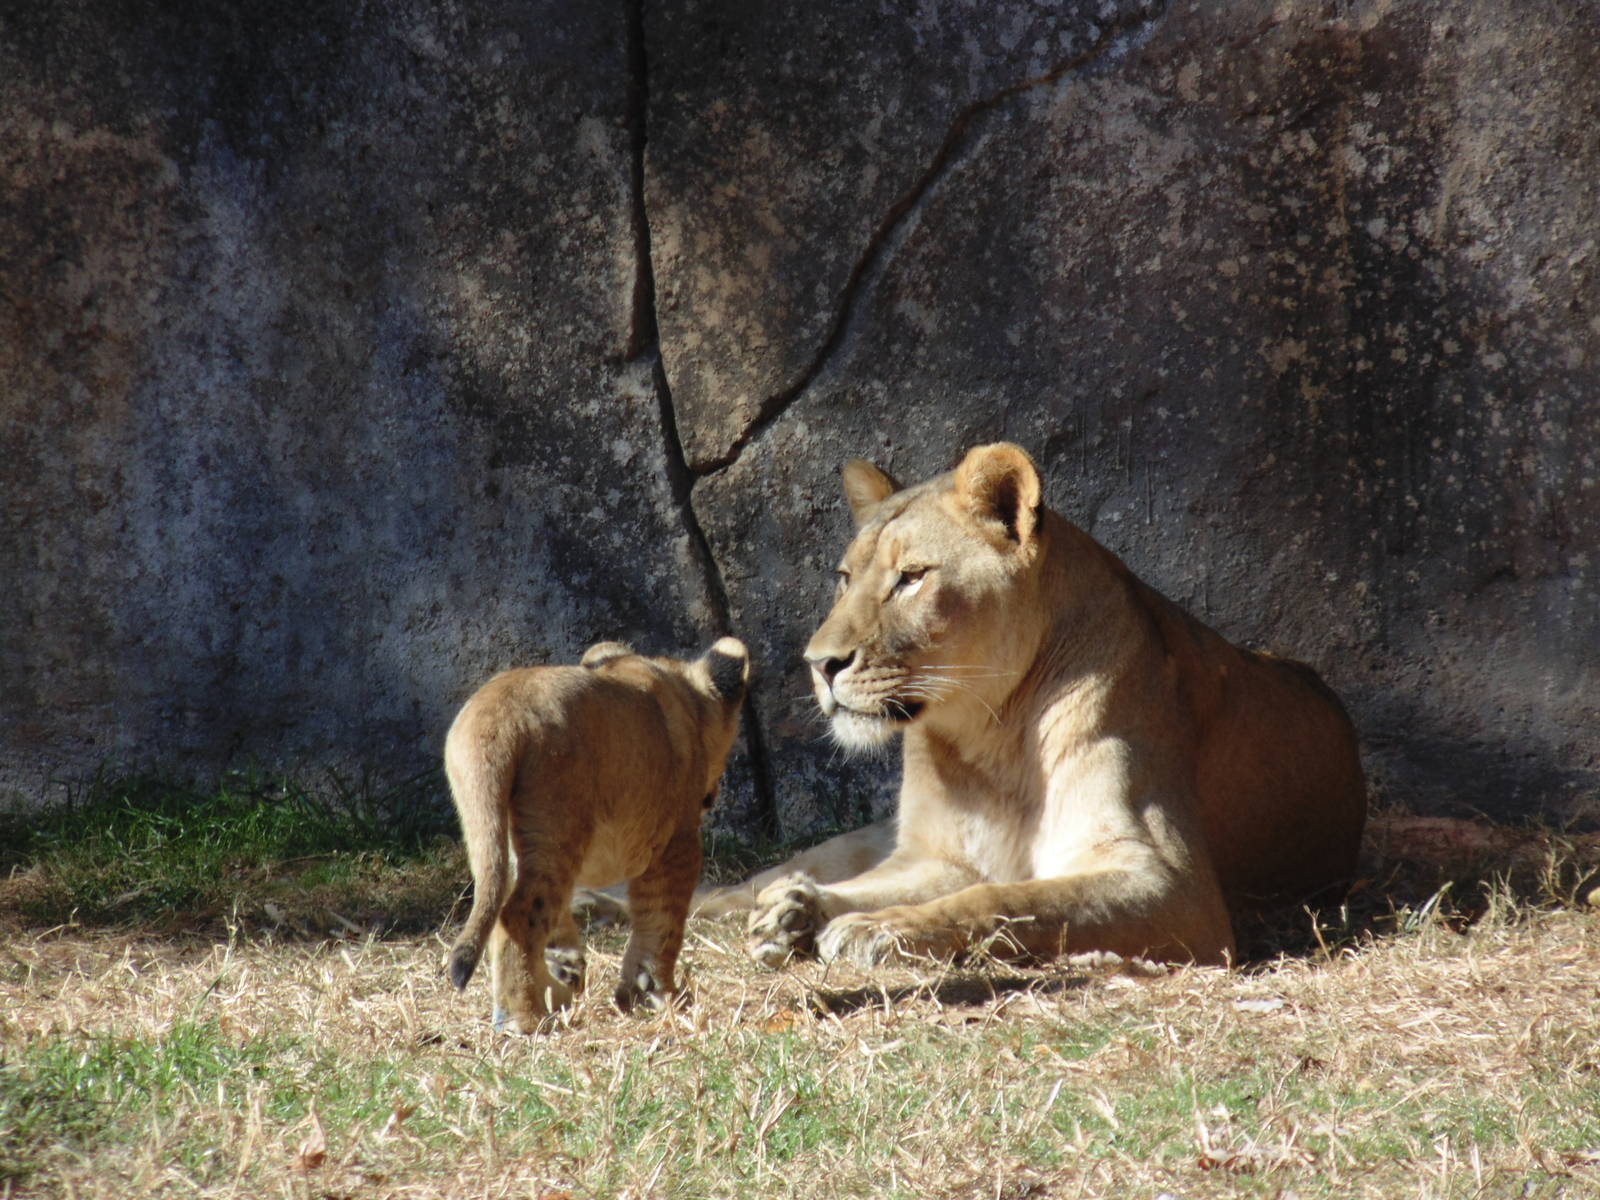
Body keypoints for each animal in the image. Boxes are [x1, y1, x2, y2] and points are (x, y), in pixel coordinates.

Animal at [445, 636, 749, 1032]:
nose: (713, 795)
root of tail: (495, 715)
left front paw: (569, 967)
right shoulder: (676, 843)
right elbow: (662, 920)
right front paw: (655, 994)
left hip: (490, 826)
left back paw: (550, 991)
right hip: (558, 825)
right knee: (518, 916)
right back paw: (523, 1018)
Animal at [740, 442, 1366, 968]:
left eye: (911, 577)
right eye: (845, 579)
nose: (819, 663)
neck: (989, 734)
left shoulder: (1176, 887)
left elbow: (1008, 898)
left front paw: (883, 928)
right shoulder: (934, 858)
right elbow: (879, 887)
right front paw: (795, 911)